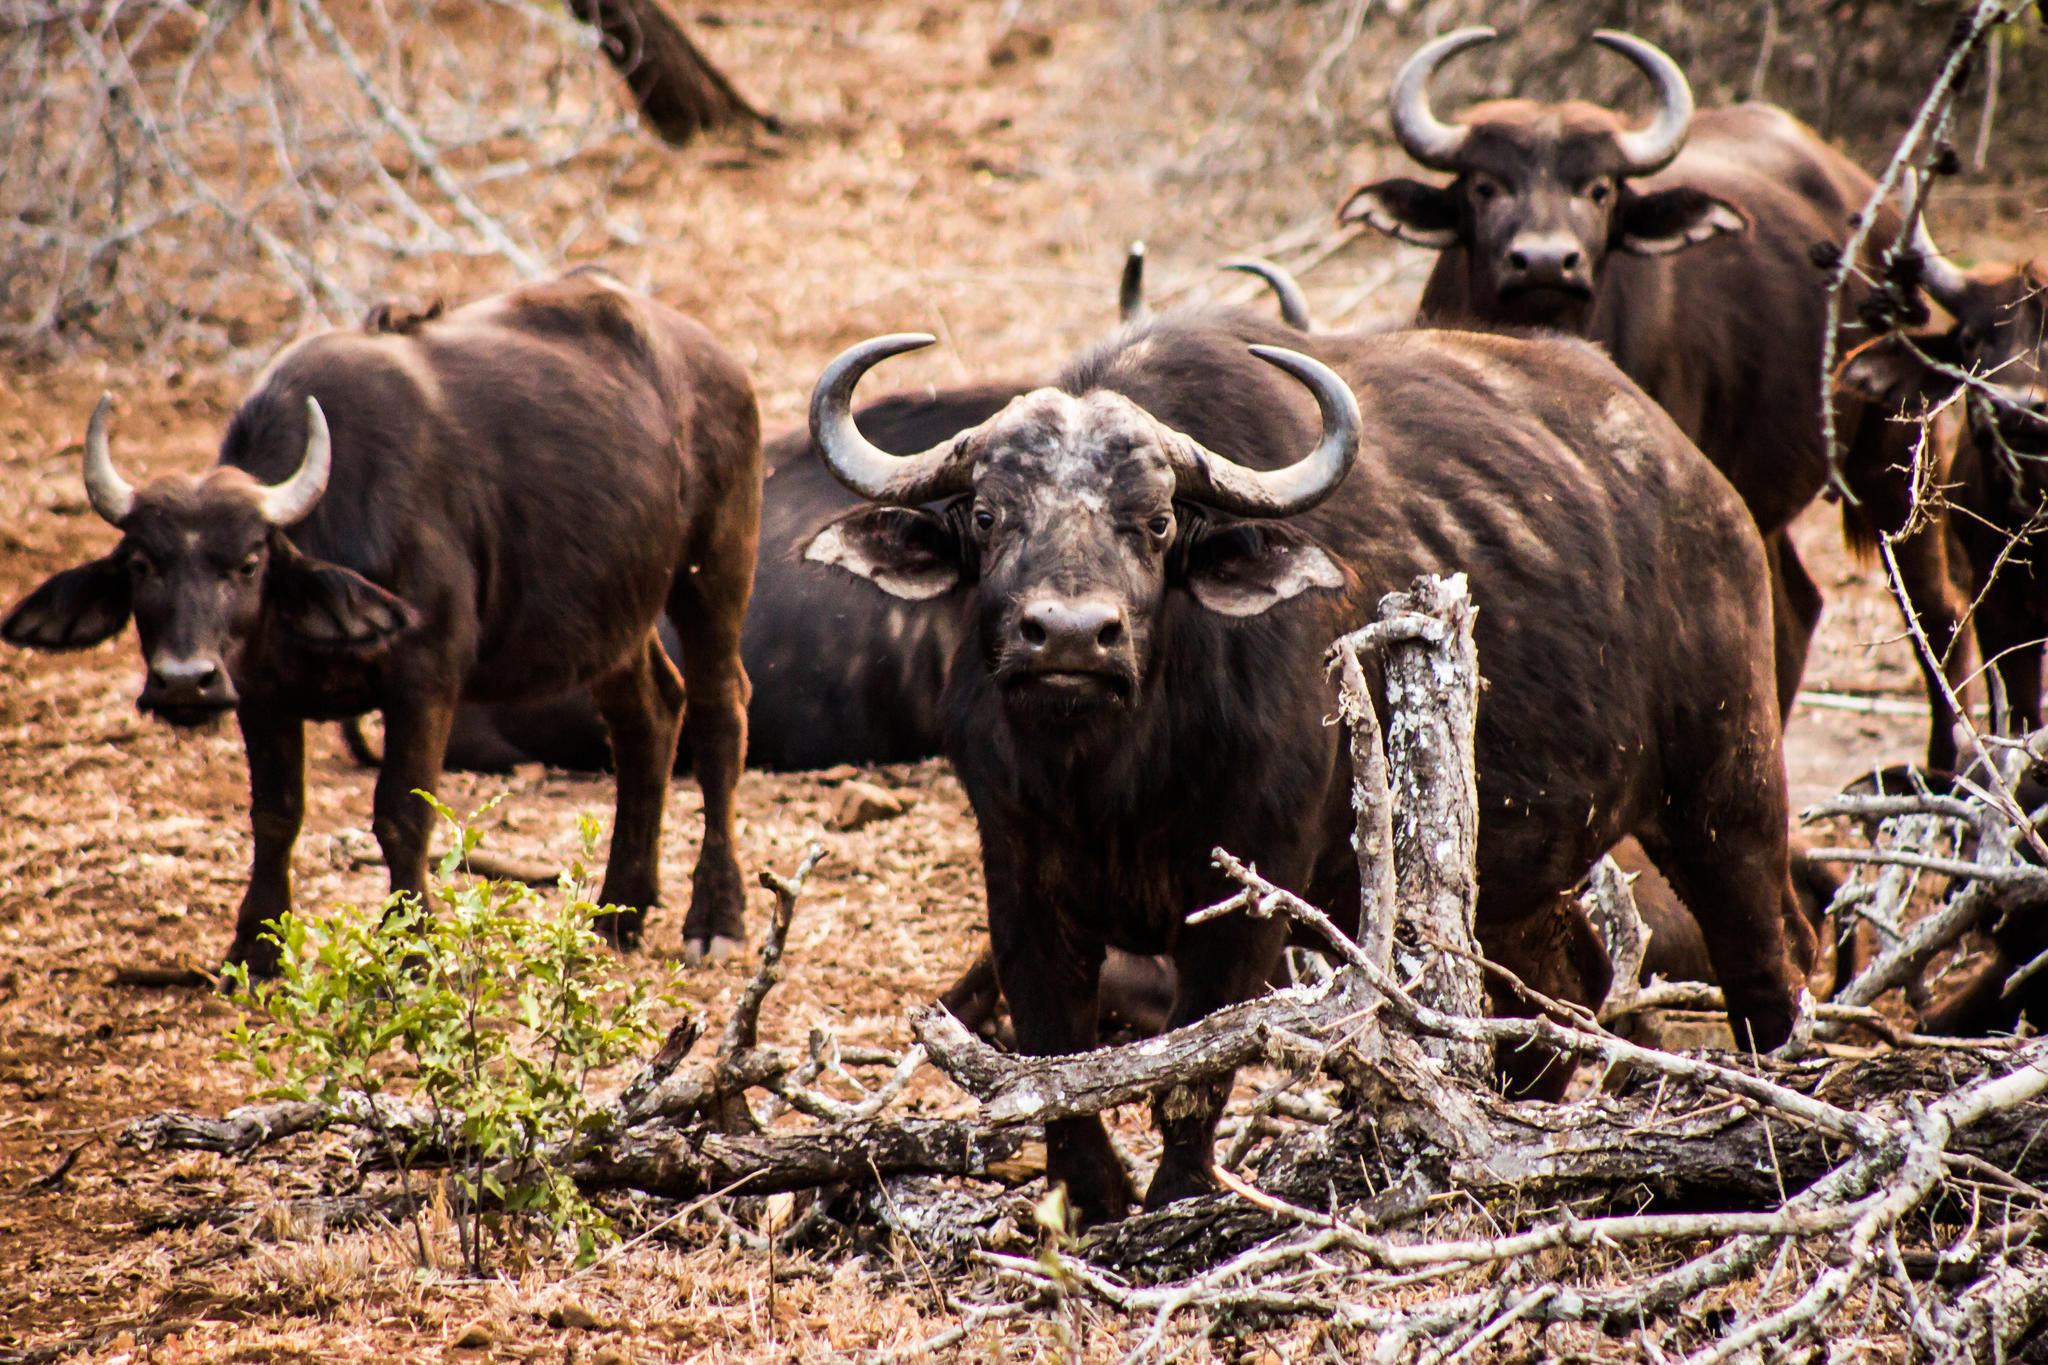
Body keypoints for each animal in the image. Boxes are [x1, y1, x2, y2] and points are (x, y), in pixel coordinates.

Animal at [1, 271, 762, 972]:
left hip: (715, 570)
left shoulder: (424, 679)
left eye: (247, 562)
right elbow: (274, 814)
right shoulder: (260, 695)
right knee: (648, 719)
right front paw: (256, 945)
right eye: (140, 564)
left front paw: (412, 944)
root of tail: (717, 364)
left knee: (720, 716)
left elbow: (402, 813)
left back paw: (714, 917)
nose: (185, 681)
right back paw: (618, 912)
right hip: (613, 618)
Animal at [800, 308, 1809, 1225]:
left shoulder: (1250, 893)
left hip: (1726, 784)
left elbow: (1196, 1064)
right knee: (1559, 999)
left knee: (1768, 953)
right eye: (986, 513)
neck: (1111, 777)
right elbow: (1049, 1058)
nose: (1073, 636)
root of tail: (1696, 483)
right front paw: (1089, 1200)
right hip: (1512, 873)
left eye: (1156, 522)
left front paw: (1177, 1200)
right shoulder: (1019, 876)